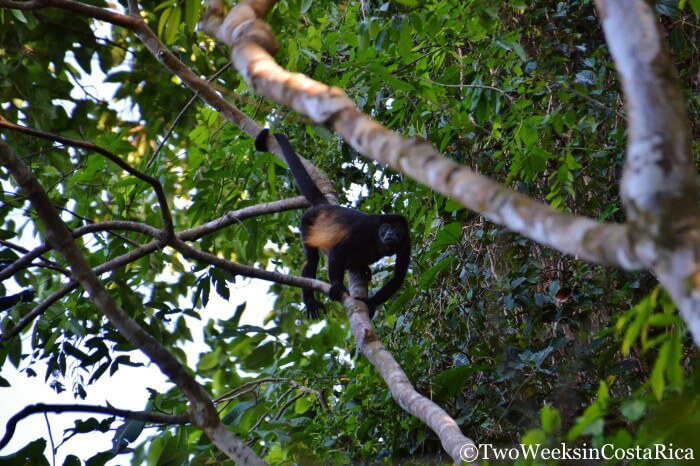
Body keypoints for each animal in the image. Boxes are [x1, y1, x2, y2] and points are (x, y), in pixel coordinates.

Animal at [255, 128, 410, 319]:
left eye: (396, 227)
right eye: (385, 228)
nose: (389, 234)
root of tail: (324, 207)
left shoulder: (407, 242)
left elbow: (398, 277)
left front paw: (371, 303)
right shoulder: (365, 229)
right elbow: (339, 249)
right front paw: (337, 285)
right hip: (307, 221)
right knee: (312, 261)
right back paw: (311, 300)